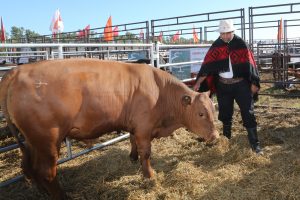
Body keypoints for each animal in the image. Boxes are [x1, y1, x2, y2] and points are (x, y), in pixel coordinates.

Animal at [0, 58, 217, 199]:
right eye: (201, 114)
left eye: (213, 110)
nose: (215, 136)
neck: (159, 91)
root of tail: (17, 71)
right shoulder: (144, 127)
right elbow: (146, 153)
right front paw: (149, 175)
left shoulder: (135, 126)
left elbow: (132, 140)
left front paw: (132, 157)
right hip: (48, 139)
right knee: (46, 171)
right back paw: (62, 196)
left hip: (32, 140)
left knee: (28, 166)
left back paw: (42, 191)